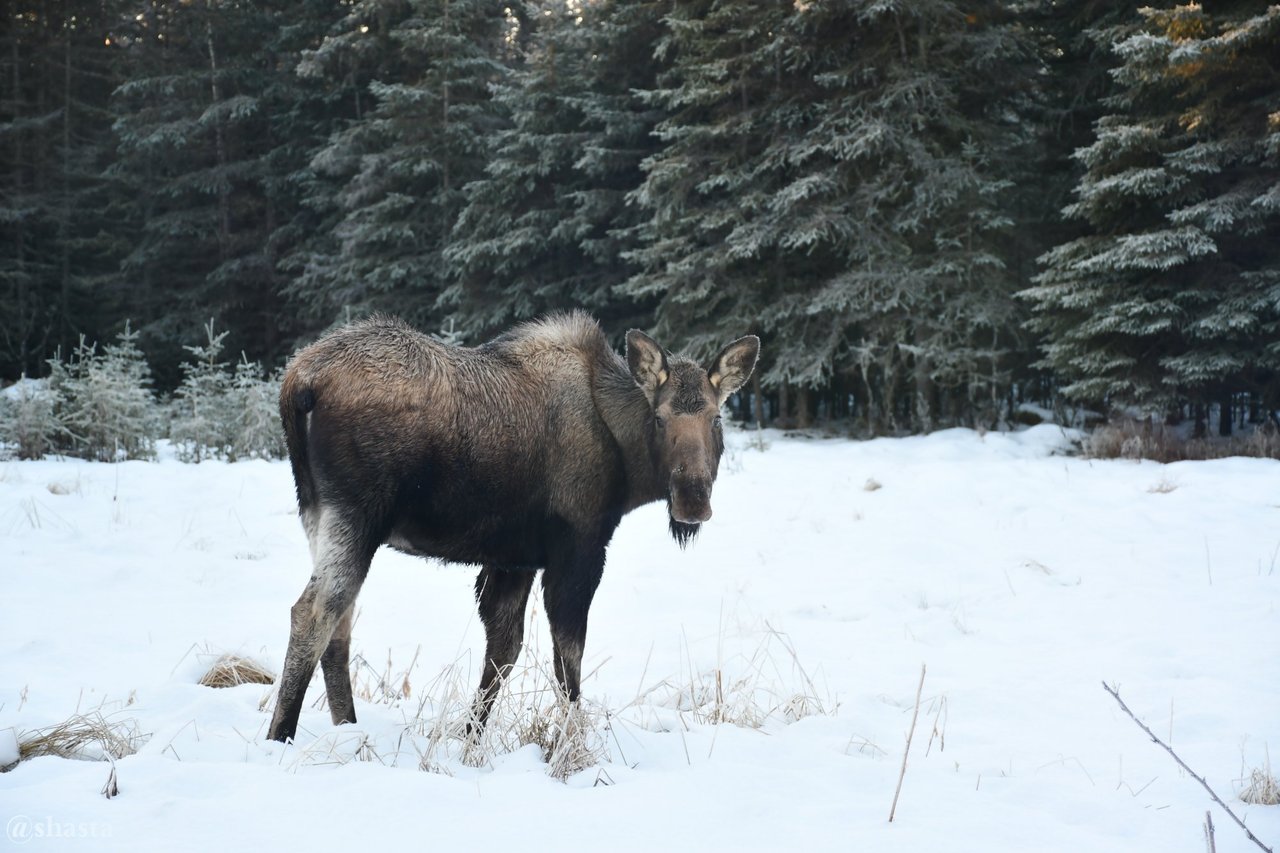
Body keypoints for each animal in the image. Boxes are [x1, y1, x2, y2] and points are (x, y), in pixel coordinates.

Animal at [264, 311, 752, 737]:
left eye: (716, 418)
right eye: (660, 417)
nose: (693, 499)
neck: (625, 459)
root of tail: (299, 384)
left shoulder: (514, 560)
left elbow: (502, 654)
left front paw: (470, 738)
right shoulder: (578, 548)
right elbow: (567, 661)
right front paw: (572, 744)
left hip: (318, 514)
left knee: (339, 625)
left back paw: (347, 729)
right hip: (358, 515)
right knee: (313, 613)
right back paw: (281, 735)